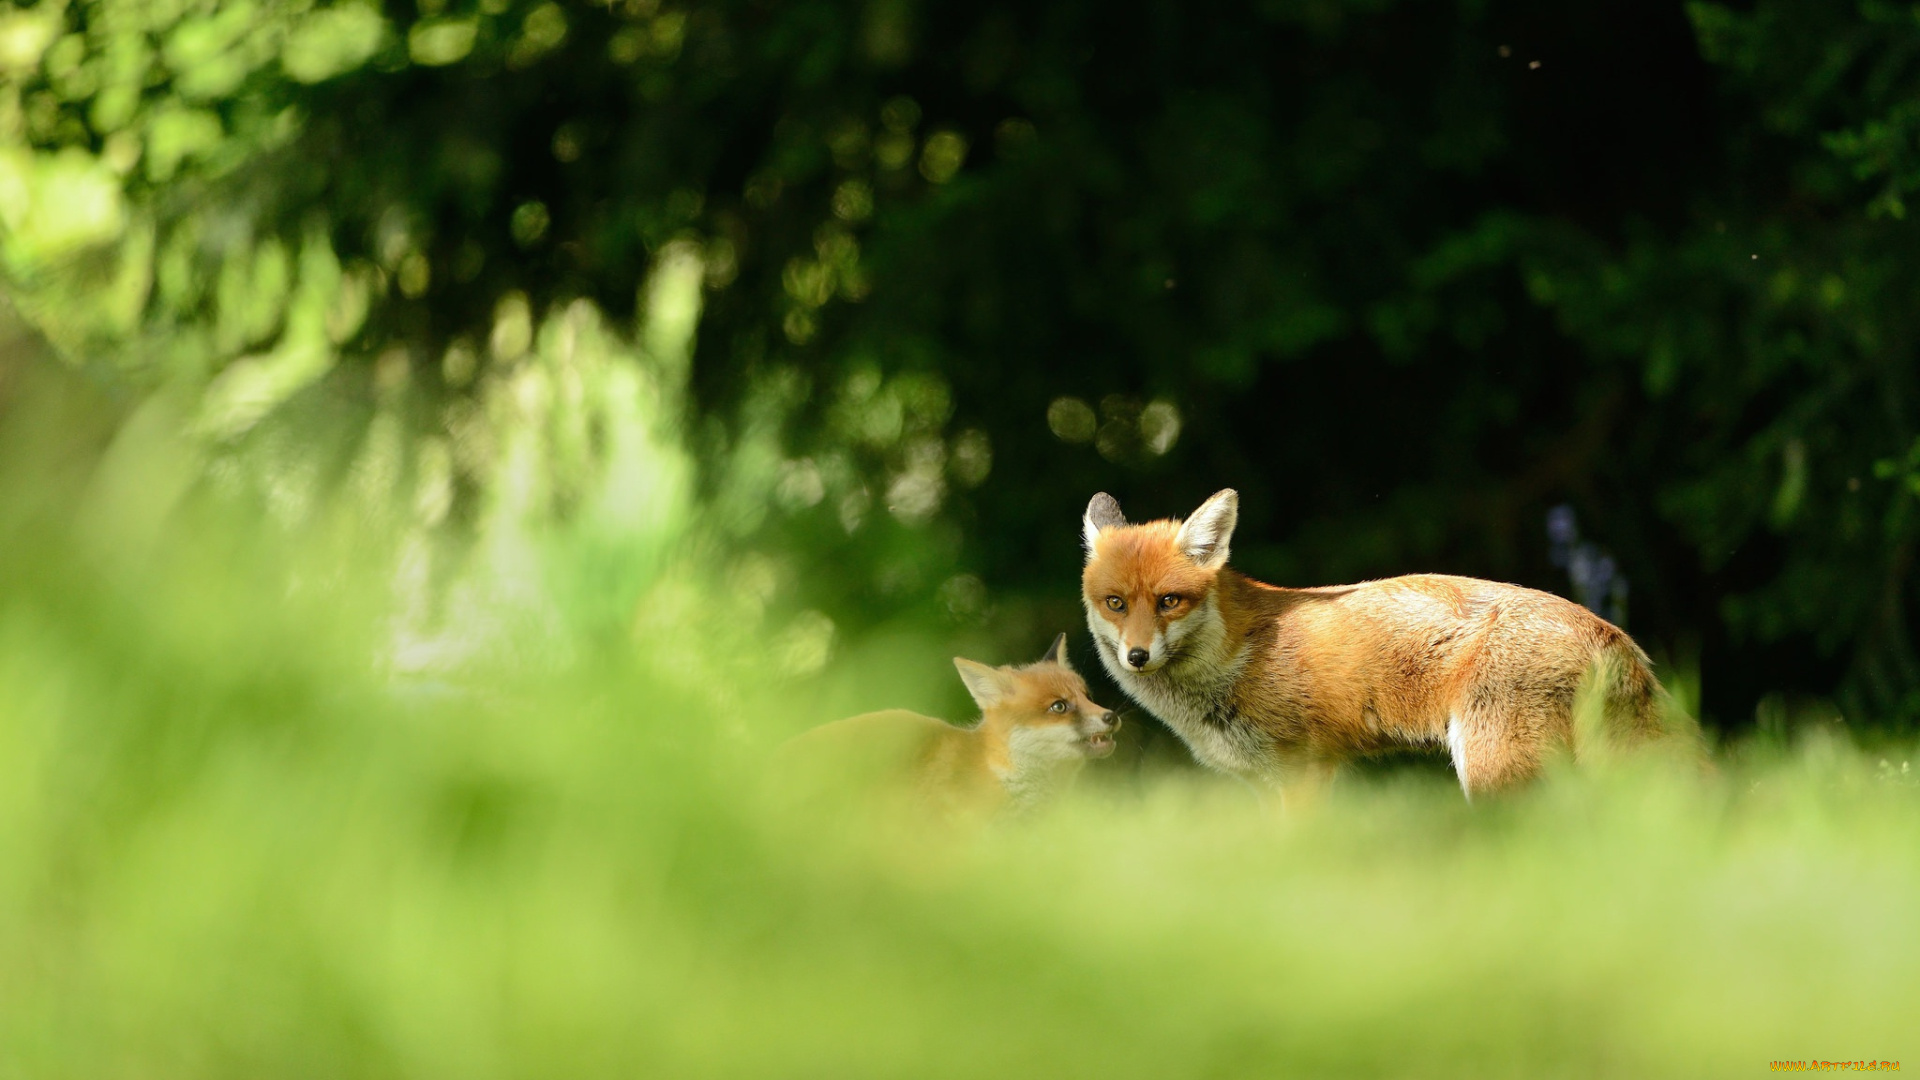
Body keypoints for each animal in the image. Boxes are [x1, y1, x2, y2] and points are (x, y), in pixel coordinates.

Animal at [1082, 488, 1681, 799]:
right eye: (1115, 603)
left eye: (1168, 601)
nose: (1137, 656)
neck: (1236, 658)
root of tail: (1607, 630)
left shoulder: (1305, 770)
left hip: (1494, 771)